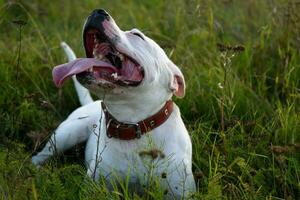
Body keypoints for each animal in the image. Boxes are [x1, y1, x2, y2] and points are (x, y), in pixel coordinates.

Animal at [32, 9, 196, 198]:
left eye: (137, 35)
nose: (97, 12)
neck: (132, 125)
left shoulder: (179, 191)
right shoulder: (94, 187)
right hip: (66, 134)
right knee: (39, 157)